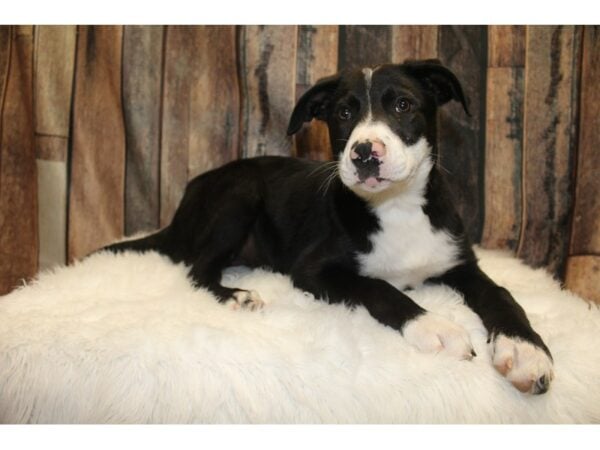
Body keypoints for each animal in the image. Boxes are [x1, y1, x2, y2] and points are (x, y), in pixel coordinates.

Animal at [105, 59, 556, 394]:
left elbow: (500, 294)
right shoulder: (314, 270)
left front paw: (526, 351)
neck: (397, 208)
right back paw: (236, 295)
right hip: (239, 193)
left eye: (403, 105)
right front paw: (436, 327)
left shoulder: (460, 261)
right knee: (197, 268)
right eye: (344, 113)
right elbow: (380, 287)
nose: (364, 153)